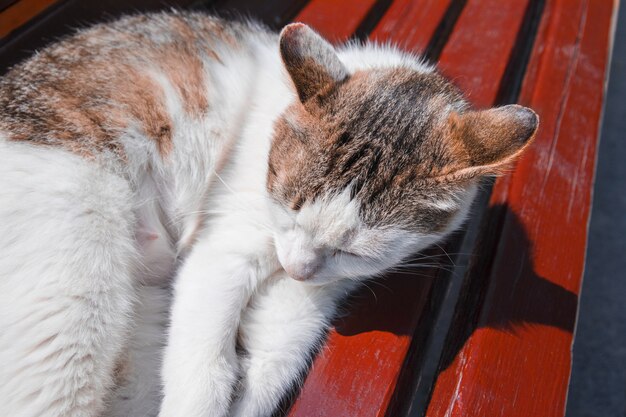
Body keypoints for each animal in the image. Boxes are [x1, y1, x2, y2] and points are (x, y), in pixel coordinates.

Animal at [0, 9, 536, 416]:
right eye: (289, 211)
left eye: (354, 252)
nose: (296, 267)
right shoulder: (224, 250)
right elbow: (205, 368)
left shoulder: (314, 292)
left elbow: (277, 355)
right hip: (72, 296)